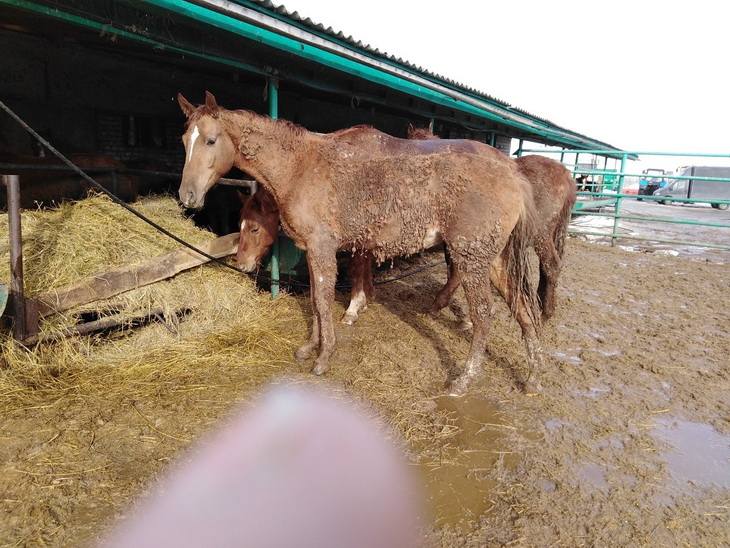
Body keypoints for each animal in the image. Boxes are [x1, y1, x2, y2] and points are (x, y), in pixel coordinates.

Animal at [175, 93, 540, 394]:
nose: (187, 196)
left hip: (471, 257)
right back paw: (531, 377)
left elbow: (323, 301)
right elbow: (315, 300)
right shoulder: (316, 250)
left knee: (485, 313)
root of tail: (513, 175)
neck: (301, 167)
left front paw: (323, 357)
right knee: (522, 307)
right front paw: (310, 347)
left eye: (210, 140)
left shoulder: (323, 248)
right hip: (492, 259)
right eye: (183, 140)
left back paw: (463, 380)